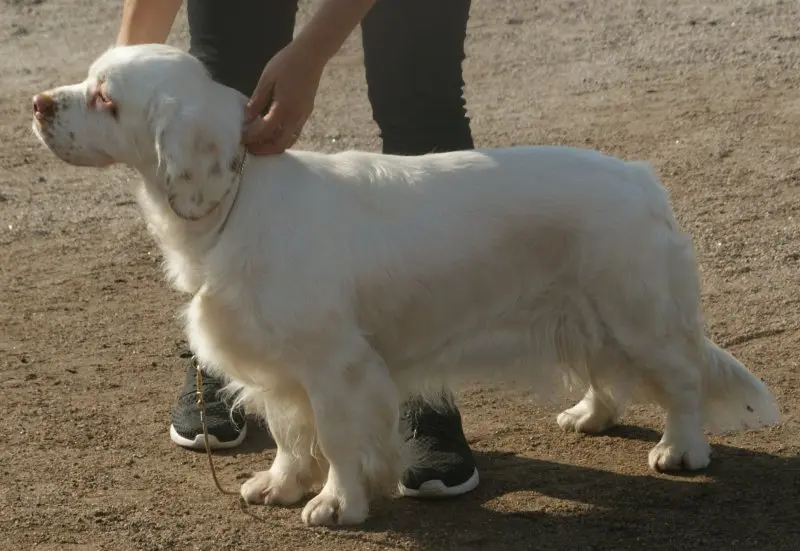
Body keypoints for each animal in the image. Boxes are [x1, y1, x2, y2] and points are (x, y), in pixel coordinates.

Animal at [31, 45, 776, 528]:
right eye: (88, 79)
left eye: (106, 98)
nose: (36, 104)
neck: (238, 203)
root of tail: (641, 179)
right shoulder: (280, 368)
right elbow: (289, 433)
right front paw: (280, 484)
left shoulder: (334, 364)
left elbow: (334, 438)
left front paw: (337, 504)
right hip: (582, 310)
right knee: (603, 372)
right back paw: (589, 415)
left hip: (635, 312)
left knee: (682, 380)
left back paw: (681, 450)